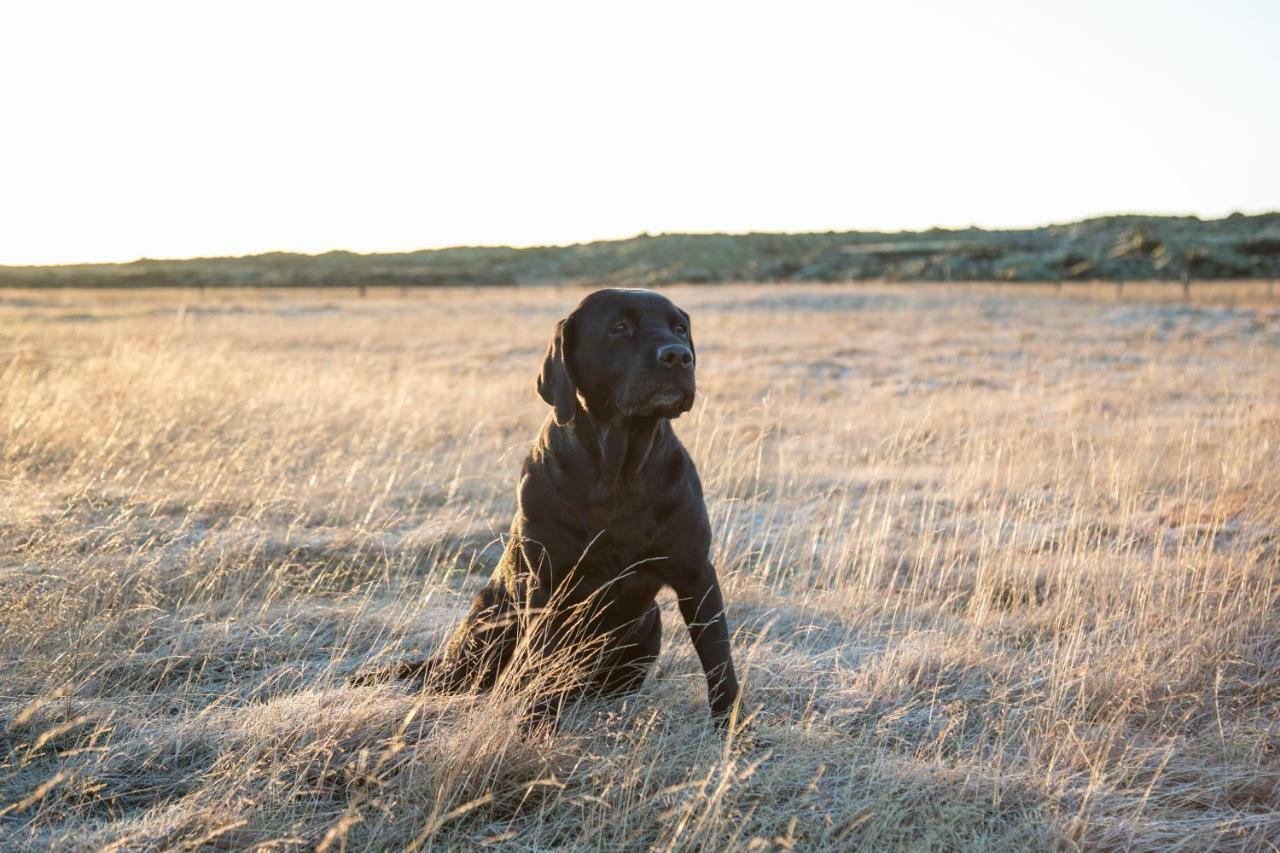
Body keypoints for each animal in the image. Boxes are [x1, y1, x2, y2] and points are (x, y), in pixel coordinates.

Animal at [358, 286, 742, 722]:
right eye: (620, 327)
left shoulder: (696, 572)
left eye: (679, 328)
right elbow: (537, 663)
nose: (678, 356)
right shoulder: (549, 583)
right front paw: (531, 722)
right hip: (490, 624)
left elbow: (719, 661)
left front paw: (731, 728)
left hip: (647, 624)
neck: (618, 472)